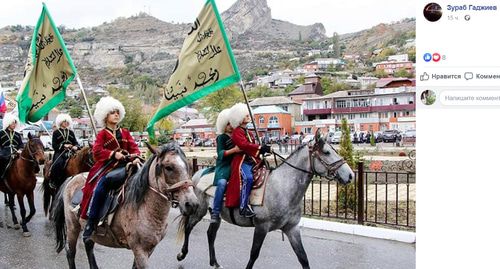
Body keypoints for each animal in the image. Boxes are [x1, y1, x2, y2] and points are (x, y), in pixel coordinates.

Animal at [51, 141, 198, 266]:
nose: (192, 204)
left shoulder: (149, 249)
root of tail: (72, 178)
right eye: (168, 167)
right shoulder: (139, 249)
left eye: (189, 166)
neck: (143, 207)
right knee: (71, 253)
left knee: (88, 245)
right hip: (72, 227)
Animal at [178, 129, 354, 266]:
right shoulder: (261, 227)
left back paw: (214, 262)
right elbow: (253, 254)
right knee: (188, 227)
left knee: (210, 234)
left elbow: (303, 258)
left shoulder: (292, 229)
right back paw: (182, 254)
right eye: (327, 152)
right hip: (199, 210)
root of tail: (198, 173)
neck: (283, 188)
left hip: (216, 214)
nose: (351, 175)